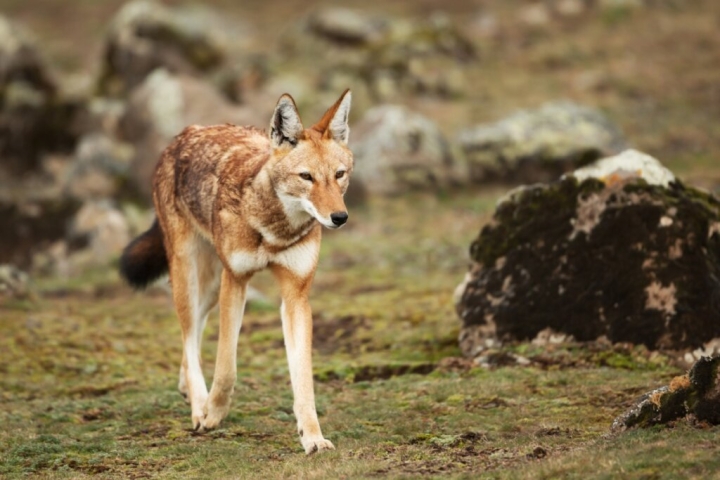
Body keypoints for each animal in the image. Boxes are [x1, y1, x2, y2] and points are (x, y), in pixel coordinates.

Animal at [119, 90, 352, 454]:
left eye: (339, 174)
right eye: (307, 177)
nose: (339, 218)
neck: (274, 228)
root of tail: (185, 134)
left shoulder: (295, 296)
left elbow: (303, 379)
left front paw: (313, 437)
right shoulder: (237, 281)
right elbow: (226, 367)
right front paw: (211, 414)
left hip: (211, 286)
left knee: (194, 332)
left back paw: (187, 389)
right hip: (190, 275)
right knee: (188, 334)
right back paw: (198, 405)